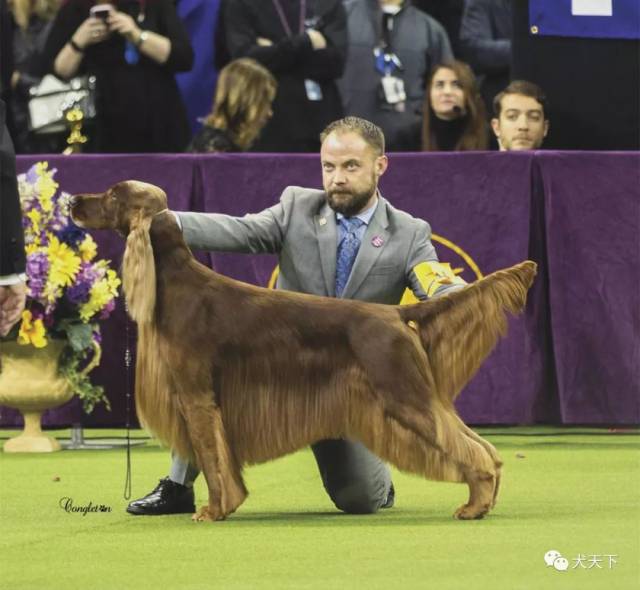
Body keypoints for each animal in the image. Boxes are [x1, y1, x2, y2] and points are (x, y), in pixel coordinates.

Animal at [72, 180, 536, 524]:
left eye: (112, 195)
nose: (74, 200)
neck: (176, 280)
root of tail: (395, 311)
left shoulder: (196, 395)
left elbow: (210, 454)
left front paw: (214, 510)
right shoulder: (203, 398)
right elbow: (214, 455)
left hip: (406, 395)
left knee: (470, 447)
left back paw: (474, 504)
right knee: (479, 444)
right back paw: (484, 500)